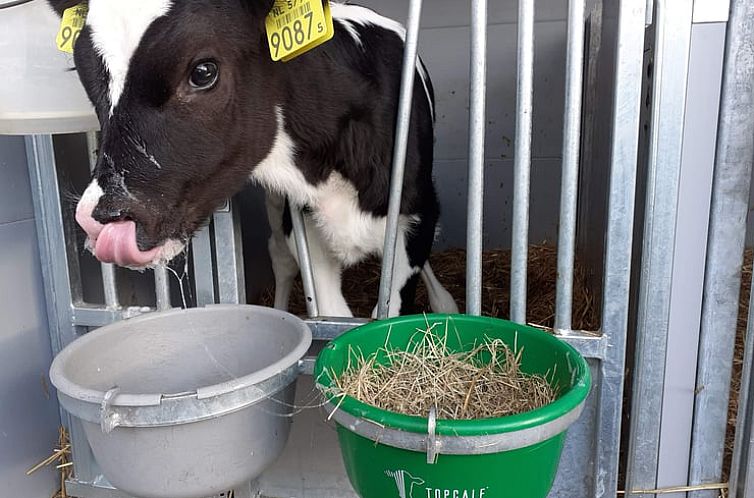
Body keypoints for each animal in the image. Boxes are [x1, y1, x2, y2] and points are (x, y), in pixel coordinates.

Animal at [50, 0, 458, 318]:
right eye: (84, 74)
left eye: (203, 71)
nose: (100, 219)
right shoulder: (304, 229)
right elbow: (332, 315)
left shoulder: (417, 215)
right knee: (280, 256)